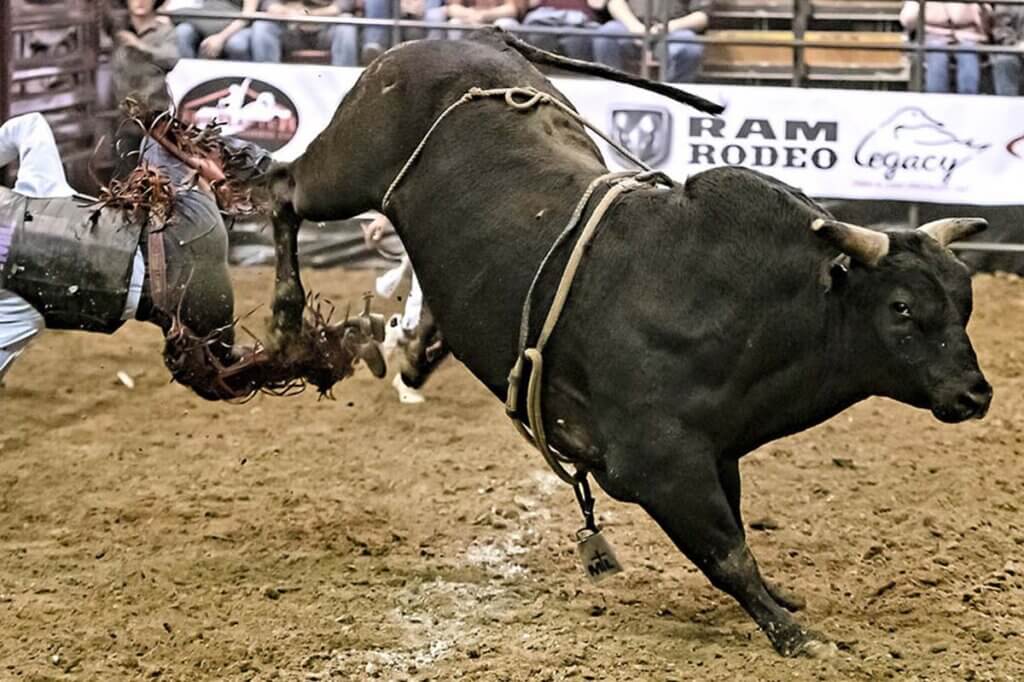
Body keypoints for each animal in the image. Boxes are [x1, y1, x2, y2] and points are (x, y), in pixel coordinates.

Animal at [264, 30, 991, 655]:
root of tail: (461, 38)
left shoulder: (717, 451)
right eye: (902, 308)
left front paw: (783, 600)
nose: (975, 394)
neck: (734, 305)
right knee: (282, 189)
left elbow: (737, 531)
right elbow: (727, 553)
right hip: (344, 171)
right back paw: (283, 321)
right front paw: (793, 634)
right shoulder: (662, 466)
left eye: (964, 301)